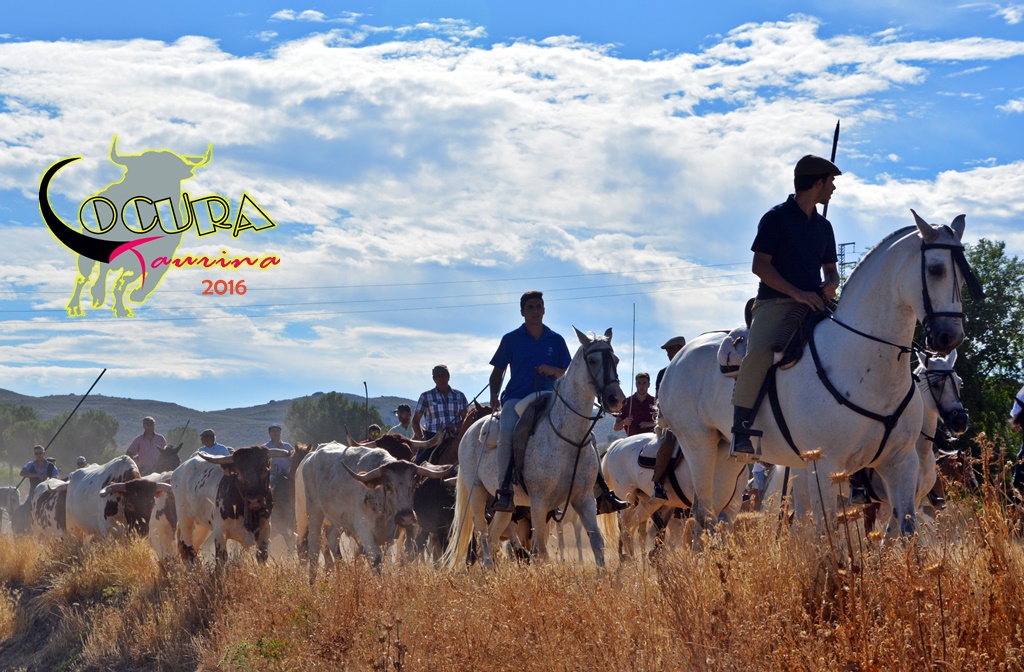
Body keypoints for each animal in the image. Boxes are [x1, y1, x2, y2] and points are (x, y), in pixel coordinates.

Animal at [295, 441, 453, 579]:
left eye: (414, 485)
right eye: (388, 486)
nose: (406, 517)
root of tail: (310, 457)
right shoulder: (363, 529)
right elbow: (375, 560)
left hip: (335, 520)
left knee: (331, 540)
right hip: (311, 514)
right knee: (311, 548)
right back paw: (311, 582)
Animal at [443, 327, 625, 569]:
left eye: (616, 359)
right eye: (593, 360)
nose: (616, 399)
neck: (568, 438)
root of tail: (470, 431)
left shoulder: (583, 499)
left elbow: (596, 542)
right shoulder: (539, 504)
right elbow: (541, 551)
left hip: (505, 507)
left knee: (494, 534)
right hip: (478, 492)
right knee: (482, 530)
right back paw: (488, 567)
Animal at [657, 213, 976, 546]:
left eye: (963, 274)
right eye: (936, 269)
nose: (949, 336)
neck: (867, 366)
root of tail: (682, 355)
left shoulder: (900, 464)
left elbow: (907, 532)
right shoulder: (826, 467)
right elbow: (828, 532)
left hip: (726, 458)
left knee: (714, 519)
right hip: (699, 446)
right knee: (702, 515)